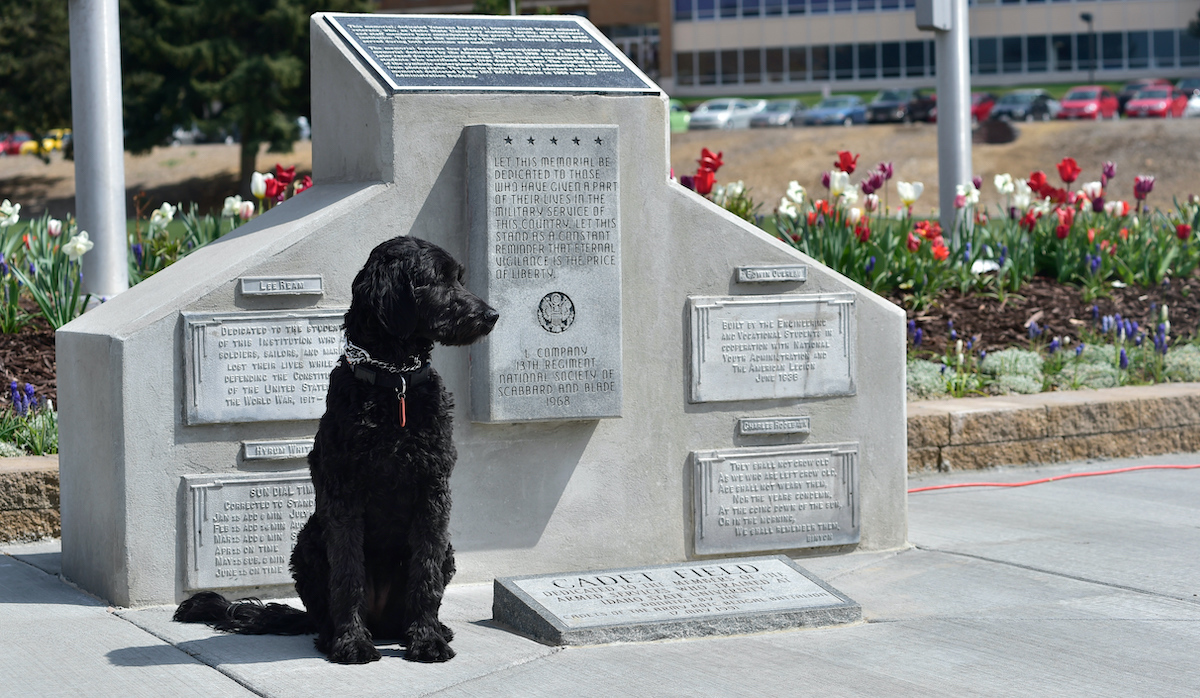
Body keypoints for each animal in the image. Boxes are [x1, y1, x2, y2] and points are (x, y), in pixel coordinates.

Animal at [174, 236, 496, 666]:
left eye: (459, 277)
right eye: (437, 280)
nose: (492, 315)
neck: (394, 382)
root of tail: (383, 623)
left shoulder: (433, 491)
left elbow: (424, 574)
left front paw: (427, 639)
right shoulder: (345, 495)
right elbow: (348, 576)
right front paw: (352, 643)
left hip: (445, 549)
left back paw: (428, 628)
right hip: (309, 541)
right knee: (324, 611)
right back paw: (335, 636)